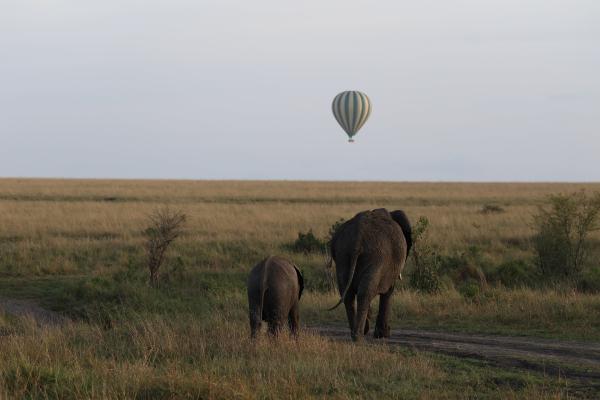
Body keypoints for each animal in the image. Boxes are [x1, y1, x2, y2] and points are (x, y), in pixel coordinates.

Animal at [328, 208, 412, 342]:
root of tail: (358, 237)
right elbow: (388, 292)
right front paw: (383, 335)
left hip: (343, 254)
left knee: (348, 294)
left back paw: (356, 333)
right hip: (377, 257)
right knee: (365, 293)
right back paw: (359, 336)